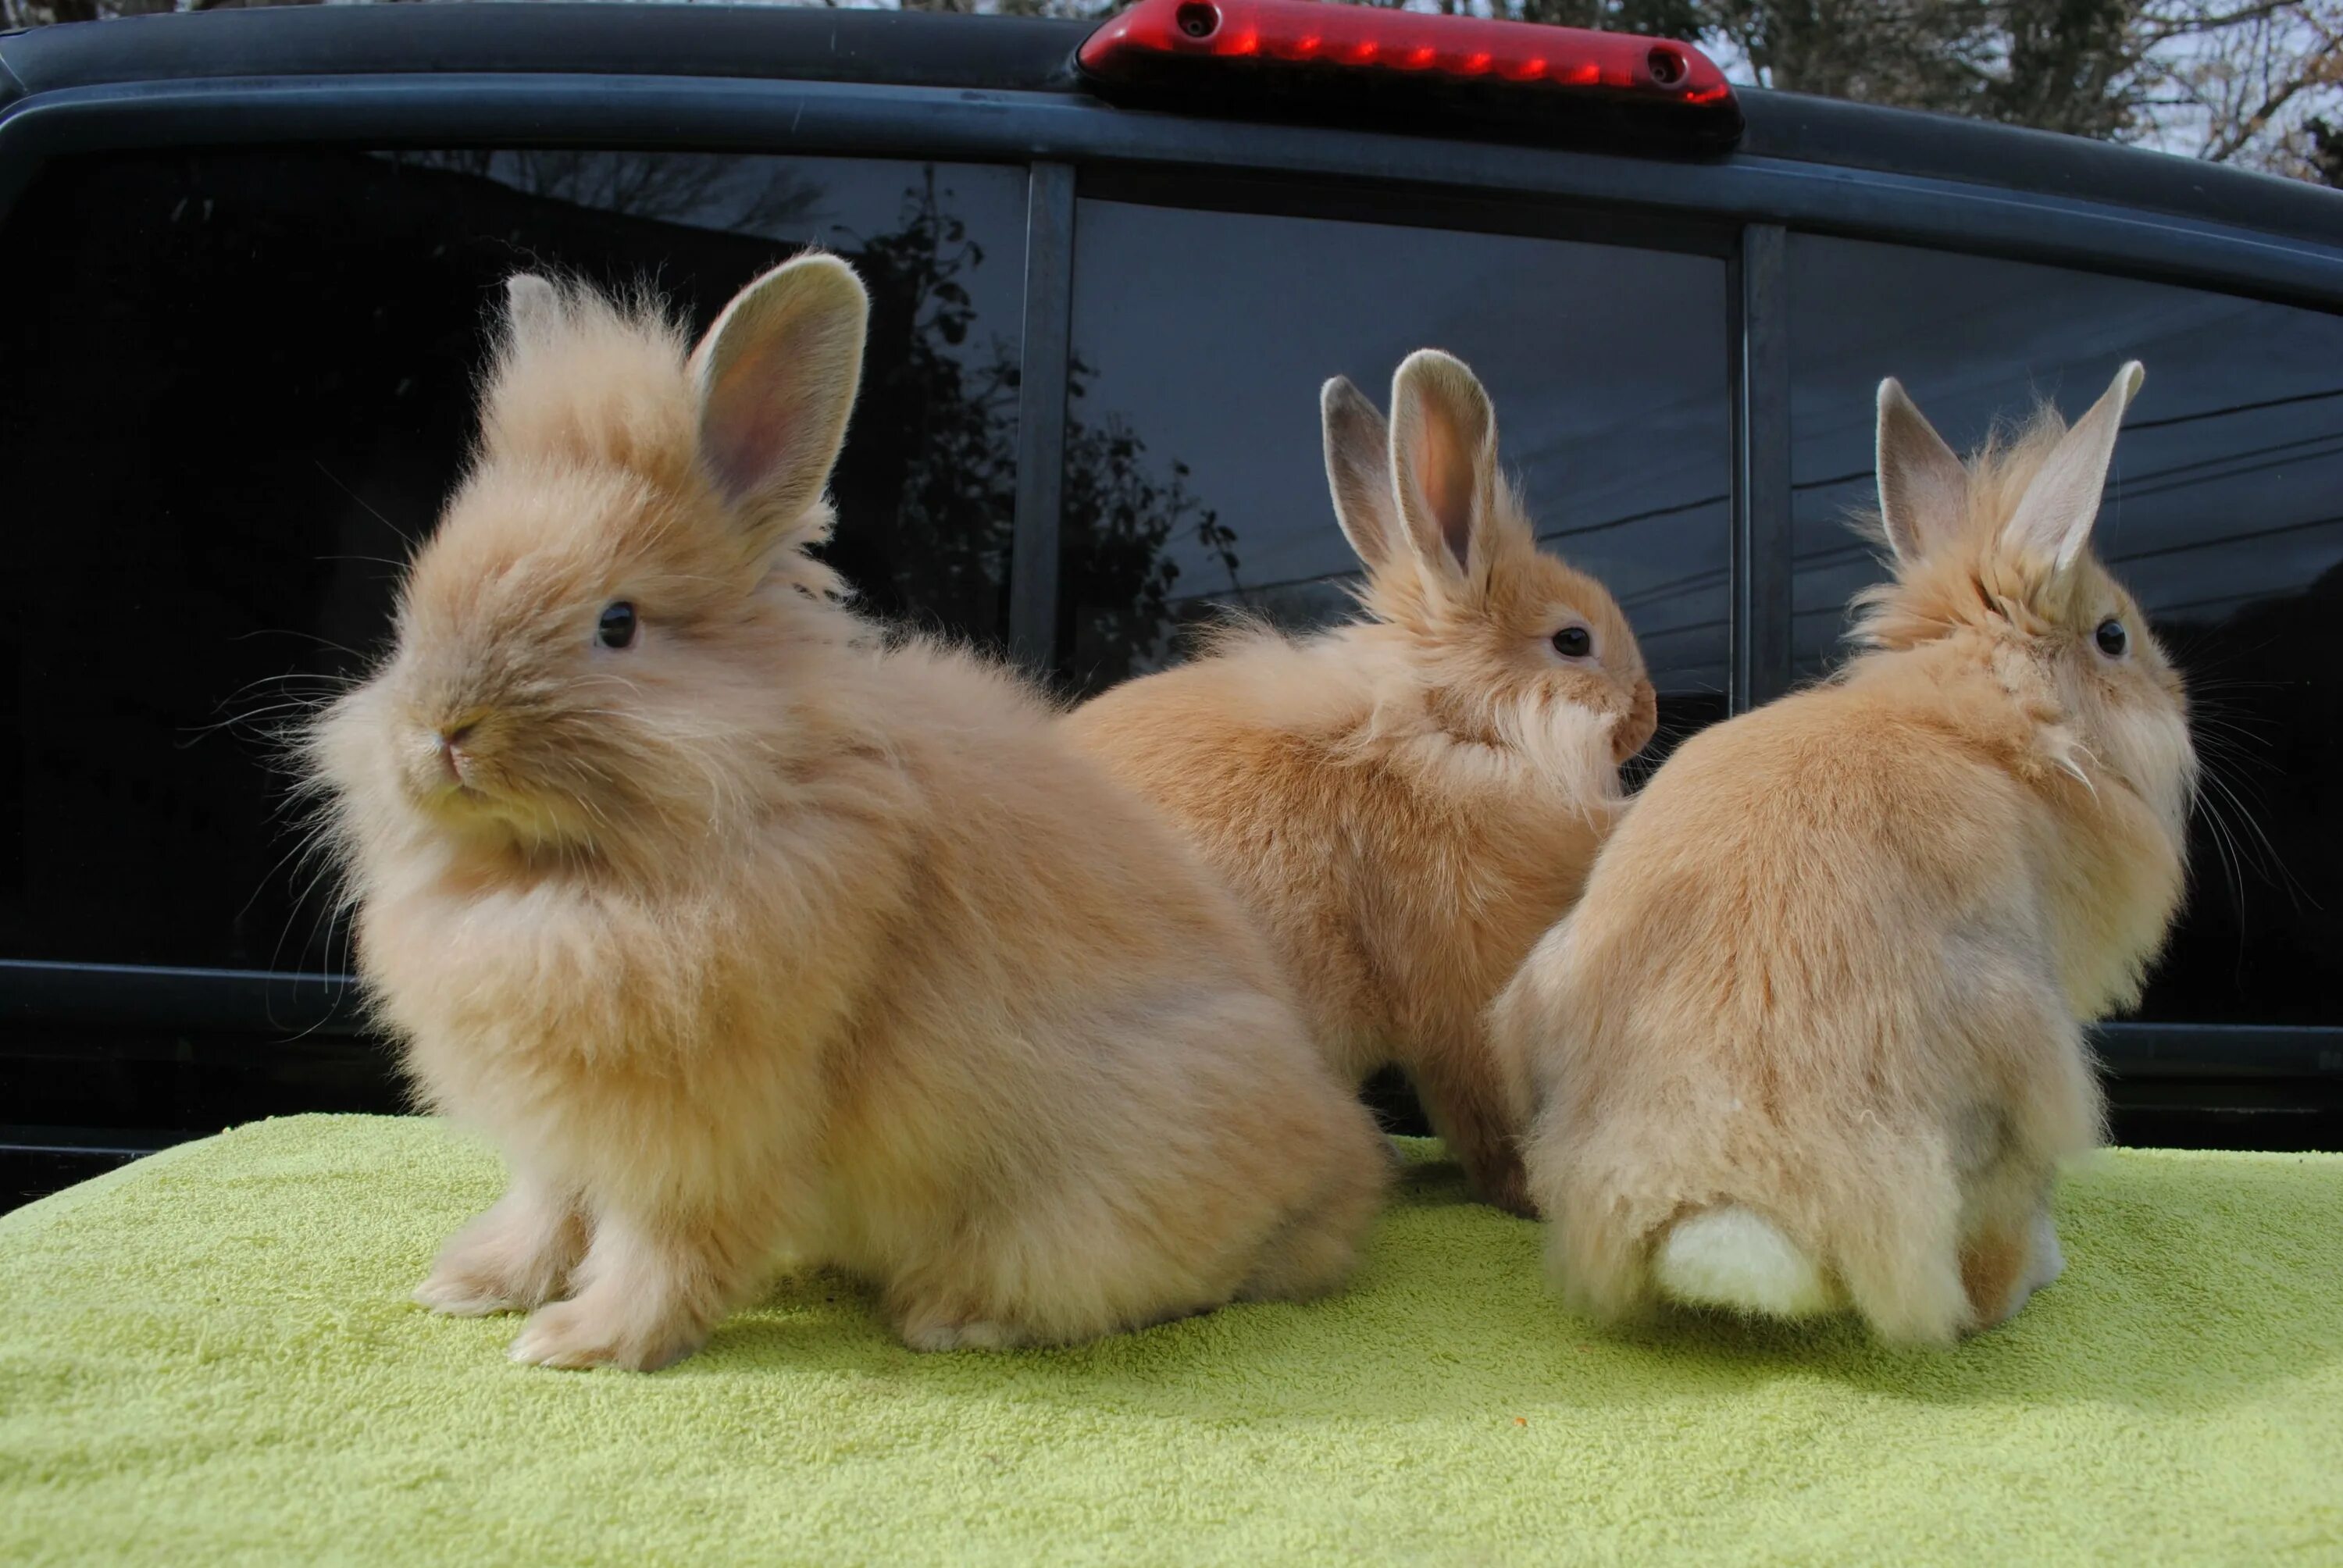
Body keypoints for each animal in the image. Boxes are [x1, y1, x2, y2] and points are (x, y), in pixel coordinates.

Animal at [300, 256, 1378, 1368]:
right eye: (417, 598)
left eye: (618, 623)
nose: (441, 730)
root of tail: (1344, 1172)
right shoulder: (567, 1129)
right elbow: (550, 1205)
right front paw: (474, 1285)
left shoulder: (707, 1132)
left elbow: (666, 1242)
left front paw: (584, 1340)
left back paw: (956, 1314)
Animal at [1073, 351, 1659, 1209]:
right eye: (1573, 641)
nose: (1647, 714)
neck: (1451, 735)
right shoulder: (1465, 995)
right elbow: (1483, 1106)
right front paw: (1526, 1191)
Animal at [1500, 361, 2193, 1340]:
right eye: (2114, 637)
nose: (2177, 689)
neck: (1984, 722)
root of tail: (1720, 1191)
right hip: (2026, 1061)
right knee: (1987, 1258)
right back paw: (2035, 1275)